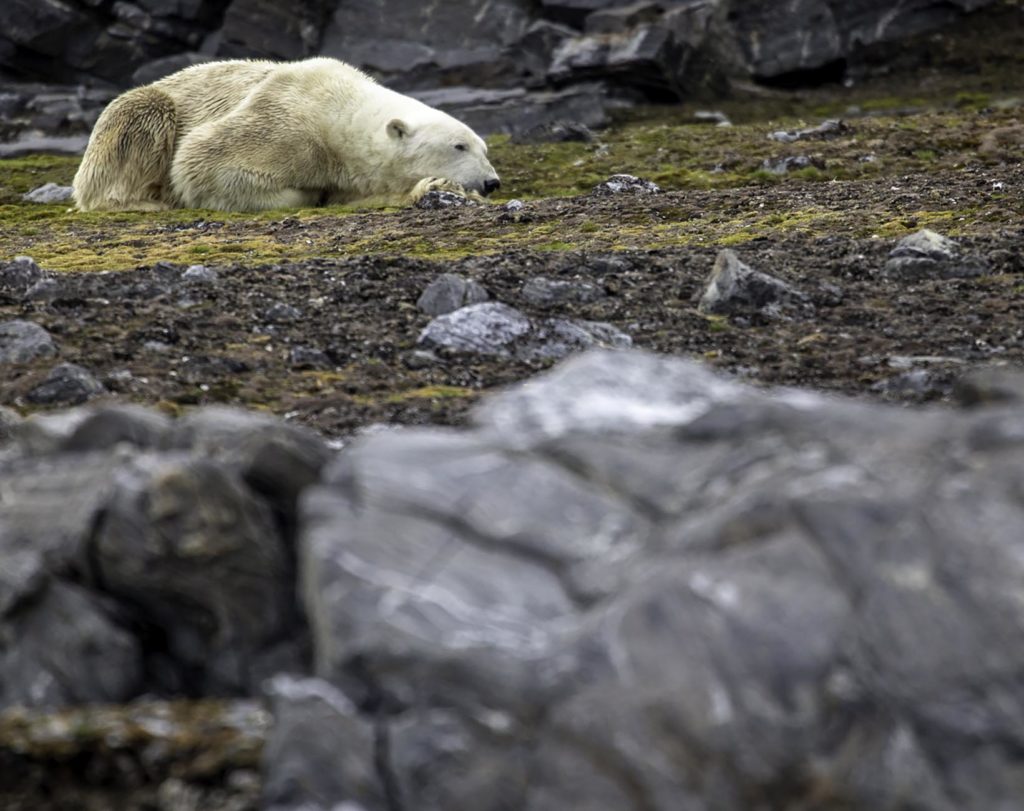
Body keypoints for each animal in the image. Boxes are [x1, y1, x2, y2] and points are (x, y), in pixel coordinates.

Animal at [73, 56, 503, 211]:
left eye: (484, 148)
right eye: (459, 145)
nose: (492, 182)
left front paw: (436, 187)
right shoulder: (286, 122)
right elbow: (201, 161)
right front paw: (309, 193)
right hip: (143, 114)